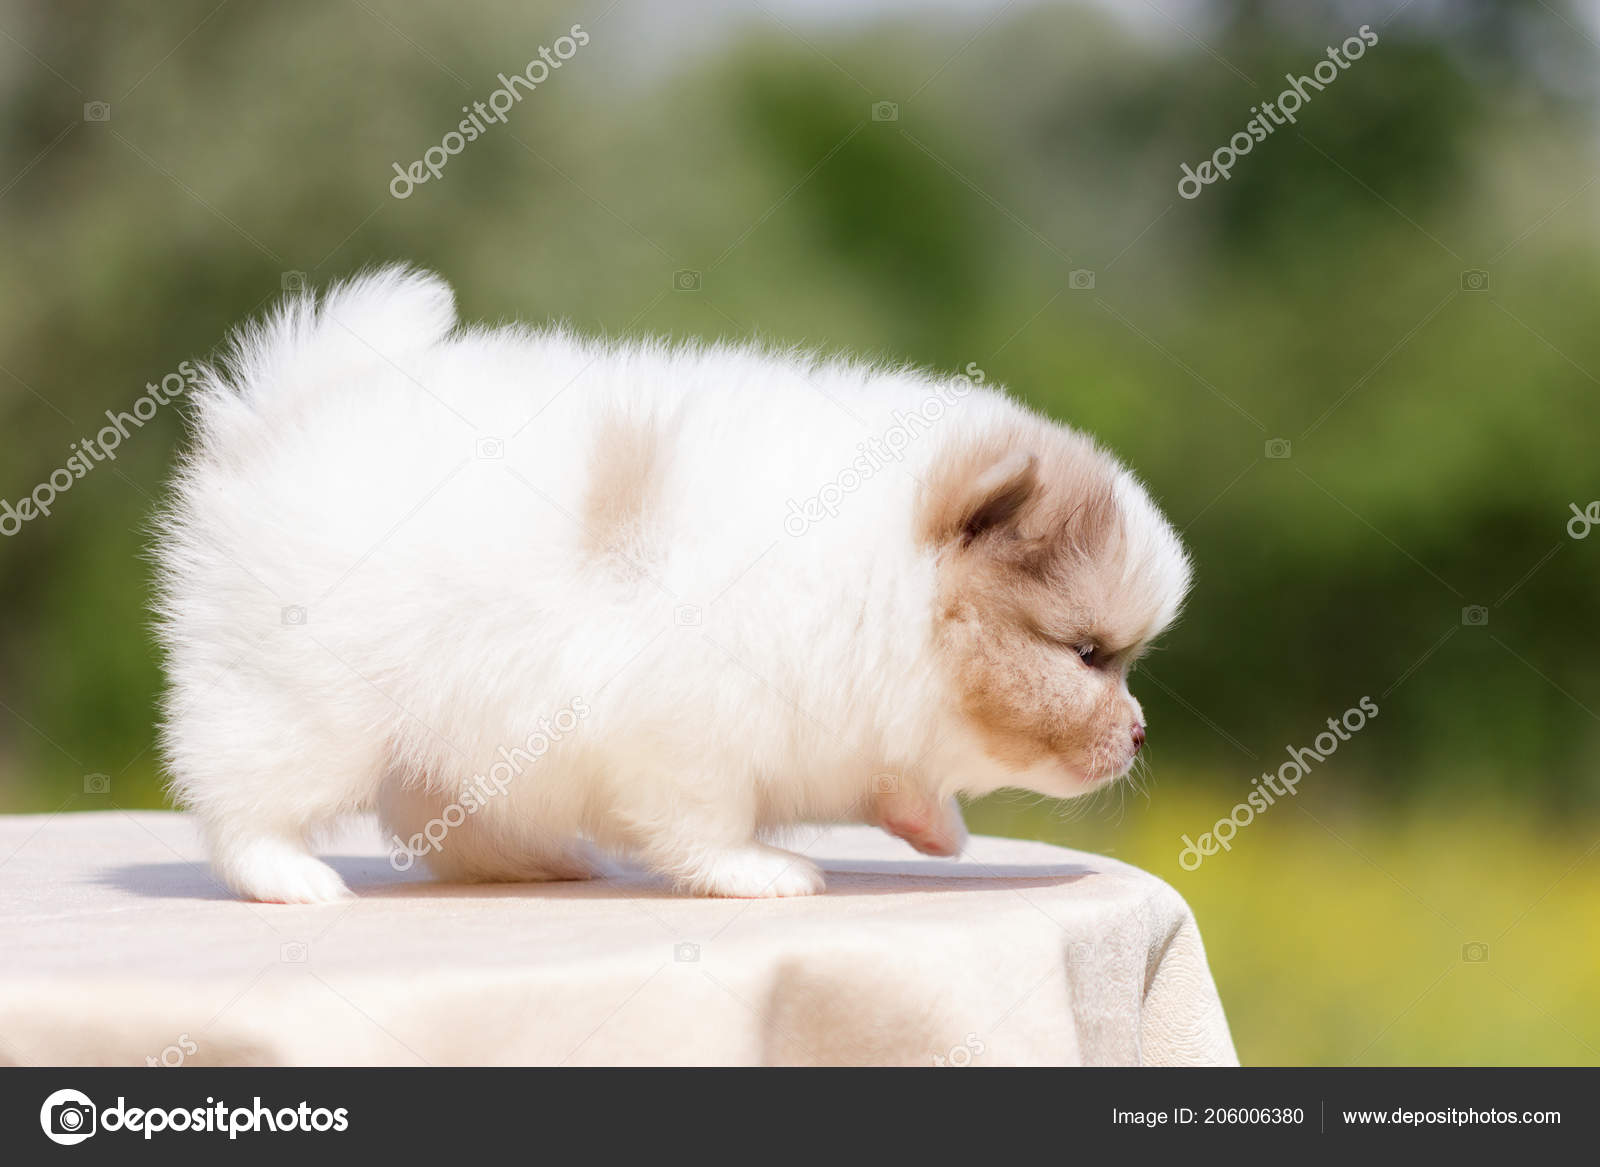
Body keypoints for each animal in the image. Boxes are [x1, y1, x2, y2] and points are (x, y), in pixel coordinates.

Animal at [159, 268, 1190, 902]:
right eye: (1088, 654)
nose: (1140, 732)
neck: (885, 586)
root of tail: (288, 414)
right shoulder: (688, 724)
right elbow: (705, 819)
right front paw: (759, 870)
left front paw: (931, 824)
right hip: (302, 700)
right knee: (243, 796)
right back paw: (287, 876)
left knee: (439, 818)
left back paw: (539, 861)